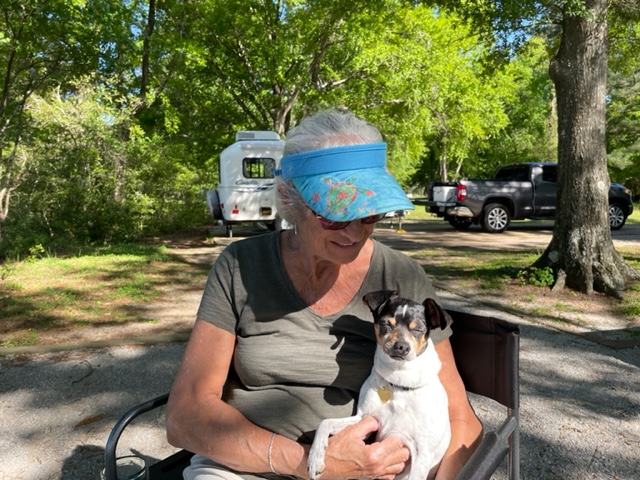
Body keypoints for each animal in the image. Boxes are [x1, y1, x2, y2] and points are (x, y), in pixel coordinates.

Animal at [308, 288, 450, 480]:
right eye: (385, 324)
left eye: (418, 329)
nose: (401, 346)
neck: (398, 383)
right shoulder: (364, 418)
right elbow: (325, 423)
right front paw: (315, 458)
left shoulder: (422, 454)